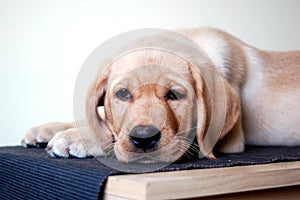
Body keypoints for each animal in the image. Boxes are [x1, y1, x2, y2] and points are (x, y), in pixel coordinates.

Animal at [21, 27, 300, 162]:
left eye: (174, 95)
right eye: (123, 94)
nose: (144, 139)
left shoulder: (230, 142)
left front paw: (74, 137)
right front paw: (48, 129)